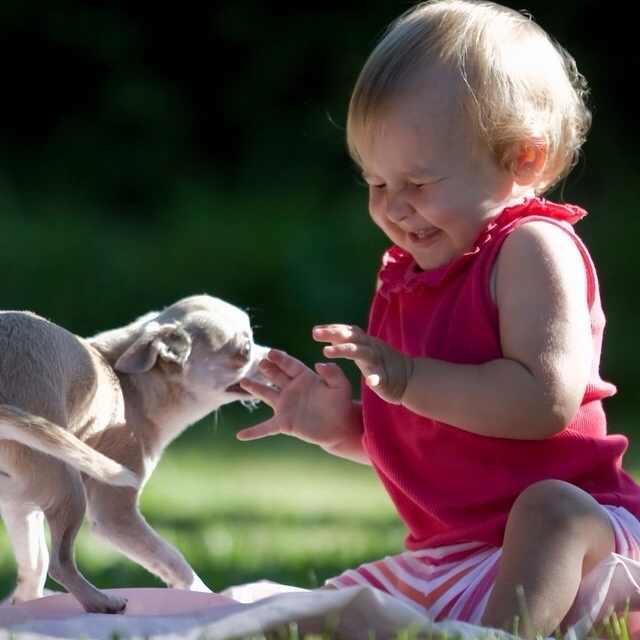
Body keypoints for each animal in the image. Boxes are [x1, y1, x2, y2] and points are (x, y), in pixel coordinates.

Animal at [0, 296, 266, 616]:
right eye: (246, 350)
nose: (272, 357)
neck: (131, 386)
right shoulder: (115, 514)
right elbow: (171, 557)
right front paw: (202, 593)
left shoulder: (19, 506)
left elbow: (32, 565)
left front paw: (24, 603)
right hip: (68, 485)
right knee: (60, 564)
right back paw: (101, 601)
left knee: (44, 563)